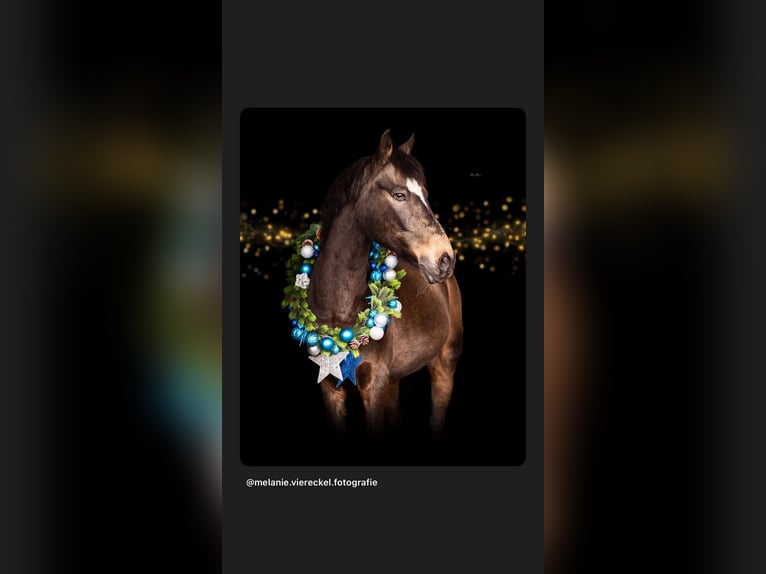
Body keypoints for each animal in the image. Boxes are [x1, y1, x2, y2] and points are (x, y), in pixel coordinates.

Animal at [306, 129, 463, 435]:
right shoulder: (330, 387)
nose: (444, 259)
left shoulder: (374, 386)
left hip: (445, 363)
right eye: (399, 194)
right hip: (394, 379)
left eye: (426, 195)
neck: (339, 314)